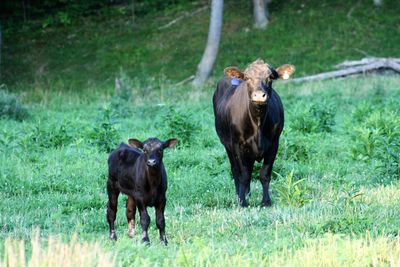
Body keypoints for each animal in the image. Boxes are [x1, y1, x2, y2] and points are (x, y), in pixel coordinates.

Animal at [212, 59, 294, 208]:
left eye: (270, 77)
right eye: (247, 78)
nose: (259, 96)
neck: (258, 125)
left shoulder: (274, 144)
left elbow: (264, 174)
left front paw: (266, 201)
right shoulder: (237, 145)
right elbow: (242, 175)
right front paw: (242, 202)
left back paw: (248, 194)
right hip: (227, 145)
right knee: (236, 170)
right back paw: (240, 195)